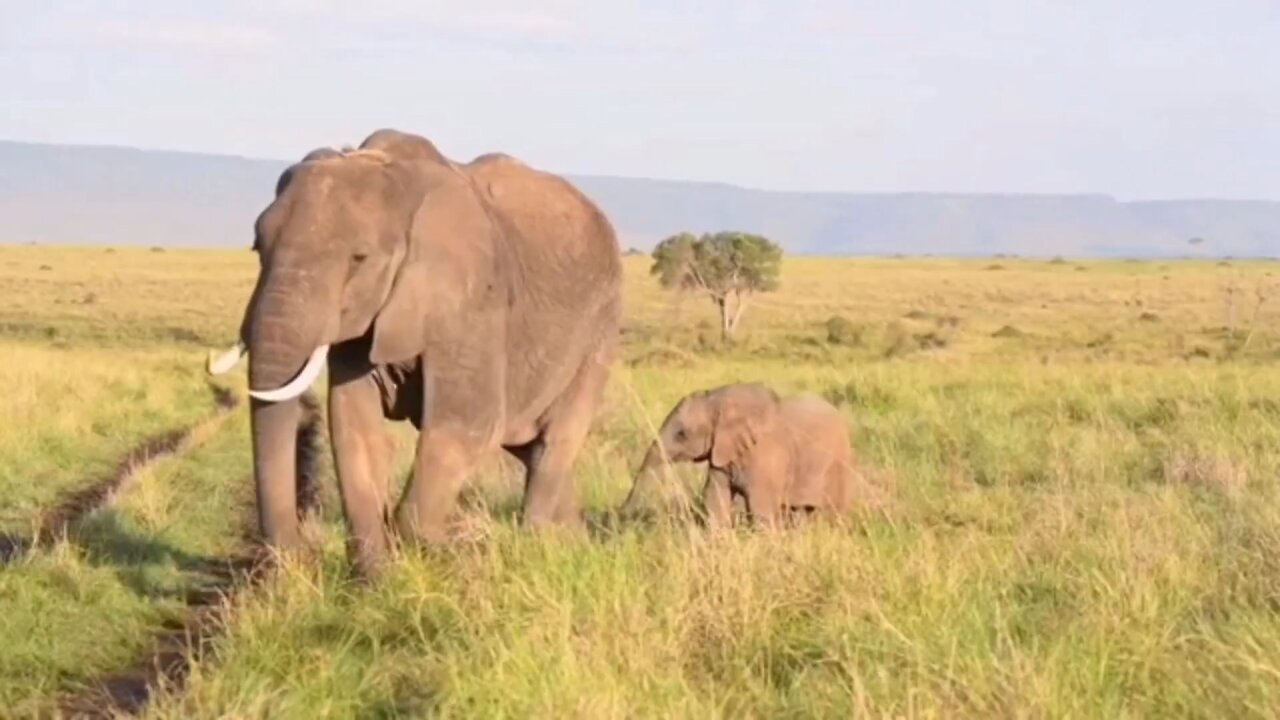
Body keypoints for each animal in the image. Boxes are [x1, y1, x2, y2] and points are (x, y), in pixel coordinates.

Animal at [206, 128, 624, 573]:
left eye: (359, 259)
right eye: (257, 247)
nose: (299, 557)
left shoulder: (473, 301)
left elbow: (468, 421)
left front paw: (429, 564)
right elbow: (353, 421)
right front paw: (375, 578)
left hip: (601, 326)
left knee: (553, 443)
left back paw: (536, 549)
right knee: (532, 448)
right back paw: (574, 546)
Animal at [622, 379, 860, 525]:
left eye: (681, 434)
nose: (623, 512)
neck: (719, 401)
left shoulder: (766, 454)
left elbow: (761, 508)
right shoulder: (722, 453)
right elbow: (715, 500)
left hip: (839, 462)